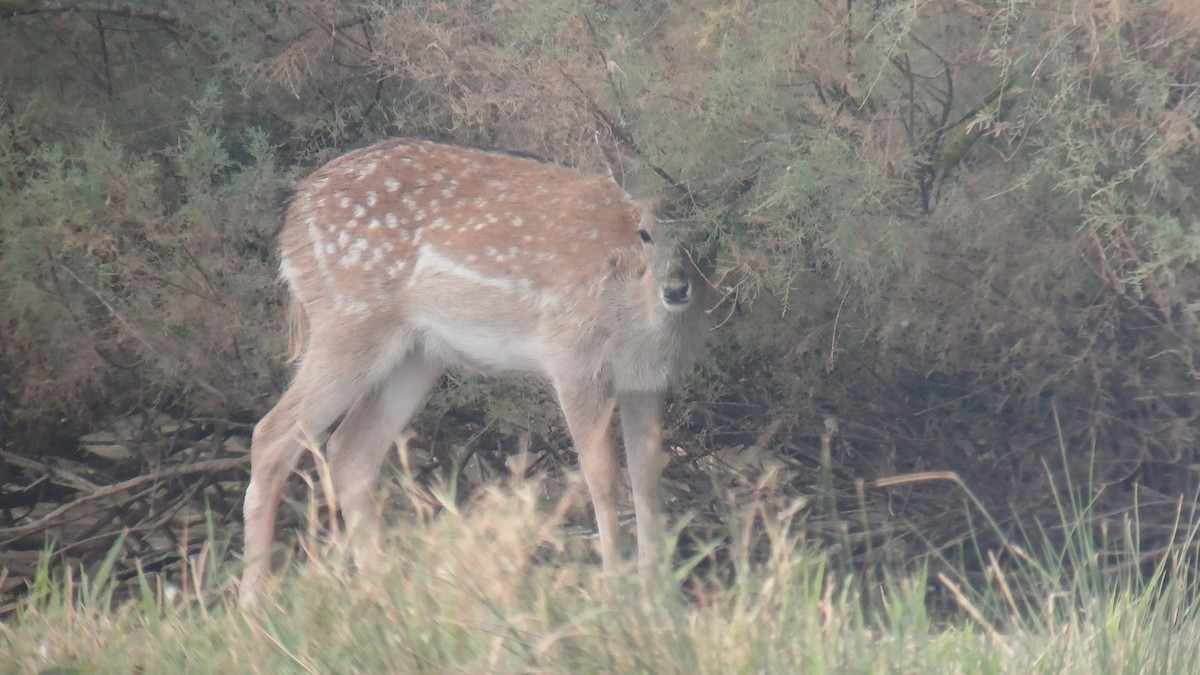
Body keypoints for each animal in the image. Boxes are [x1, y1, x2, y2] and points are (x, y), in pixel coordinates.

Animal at [240, 138, 711, 606]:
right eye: (645, 234)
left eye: (706, 235)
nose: (676, 288)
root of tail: (294, 208)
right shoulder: (575, 360)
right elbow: (603, 476)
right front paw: (616, 594)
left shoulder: (646, 382)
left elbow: (647, 478)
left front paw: (659, 599)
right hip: (348, 320)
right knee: (271, 434)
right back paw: (254, 603)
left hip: (418, 353)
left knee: (351, 448)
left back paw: (381, 590)